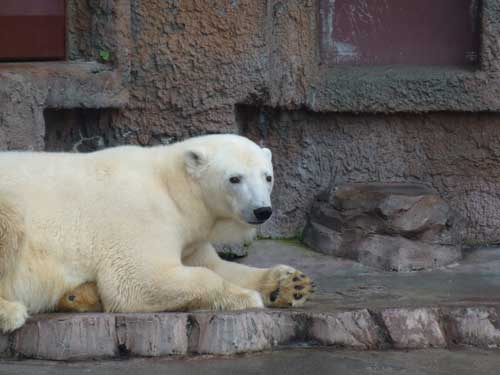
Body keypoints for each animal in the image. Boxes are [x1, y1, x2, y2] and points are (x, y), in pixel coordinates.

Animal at [0, 134, 312, 332]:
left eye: (267, 176)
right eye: (234, 178)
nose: (262, 210)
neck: (171, 186)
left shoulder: (191, 237)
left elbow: (215, 265)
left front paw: (290, 284)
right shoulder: (140, 215)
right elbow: (137, 279)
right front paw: (244, 297)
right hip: (10, 203)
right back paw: (11, 312)